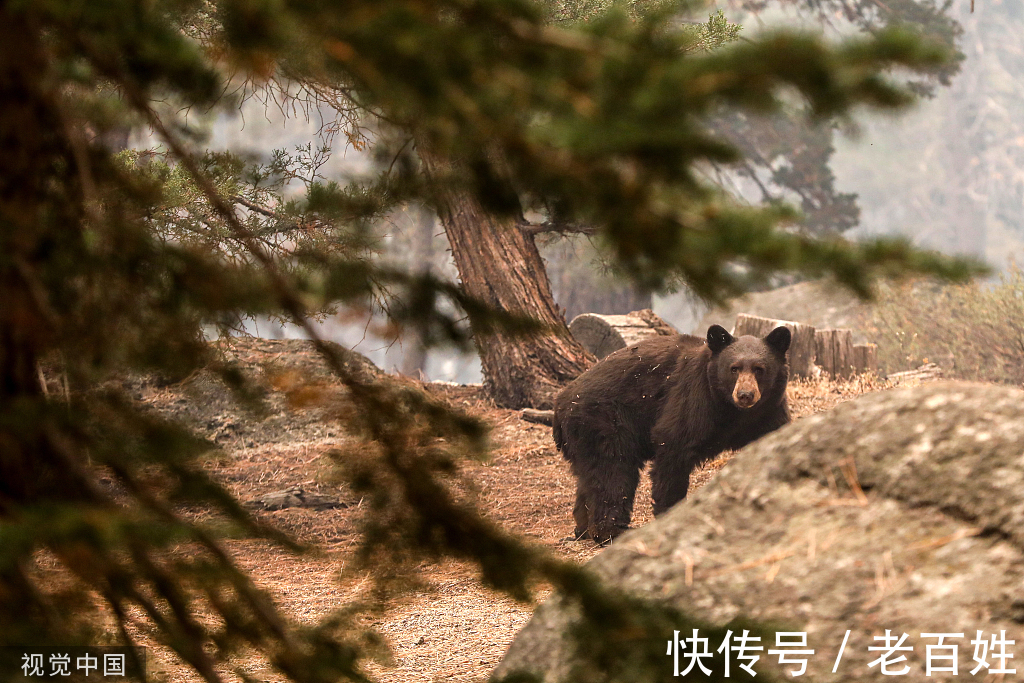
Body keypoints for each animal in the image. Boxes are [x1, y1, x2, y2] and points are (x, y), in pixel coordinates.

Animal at [552, 325, 790, 544]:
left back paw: (583, 528)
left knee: (590, 477)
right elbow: (673, 448)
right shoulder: (694, 398)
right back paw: (612, 531)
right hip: (604, 422)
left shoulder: (768, 413)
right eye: (734, 368)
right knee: (613, 473)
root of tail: (560, 403)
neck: (733, 410)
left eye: (759, 369)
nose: (745, 395)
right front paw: (670, 514)